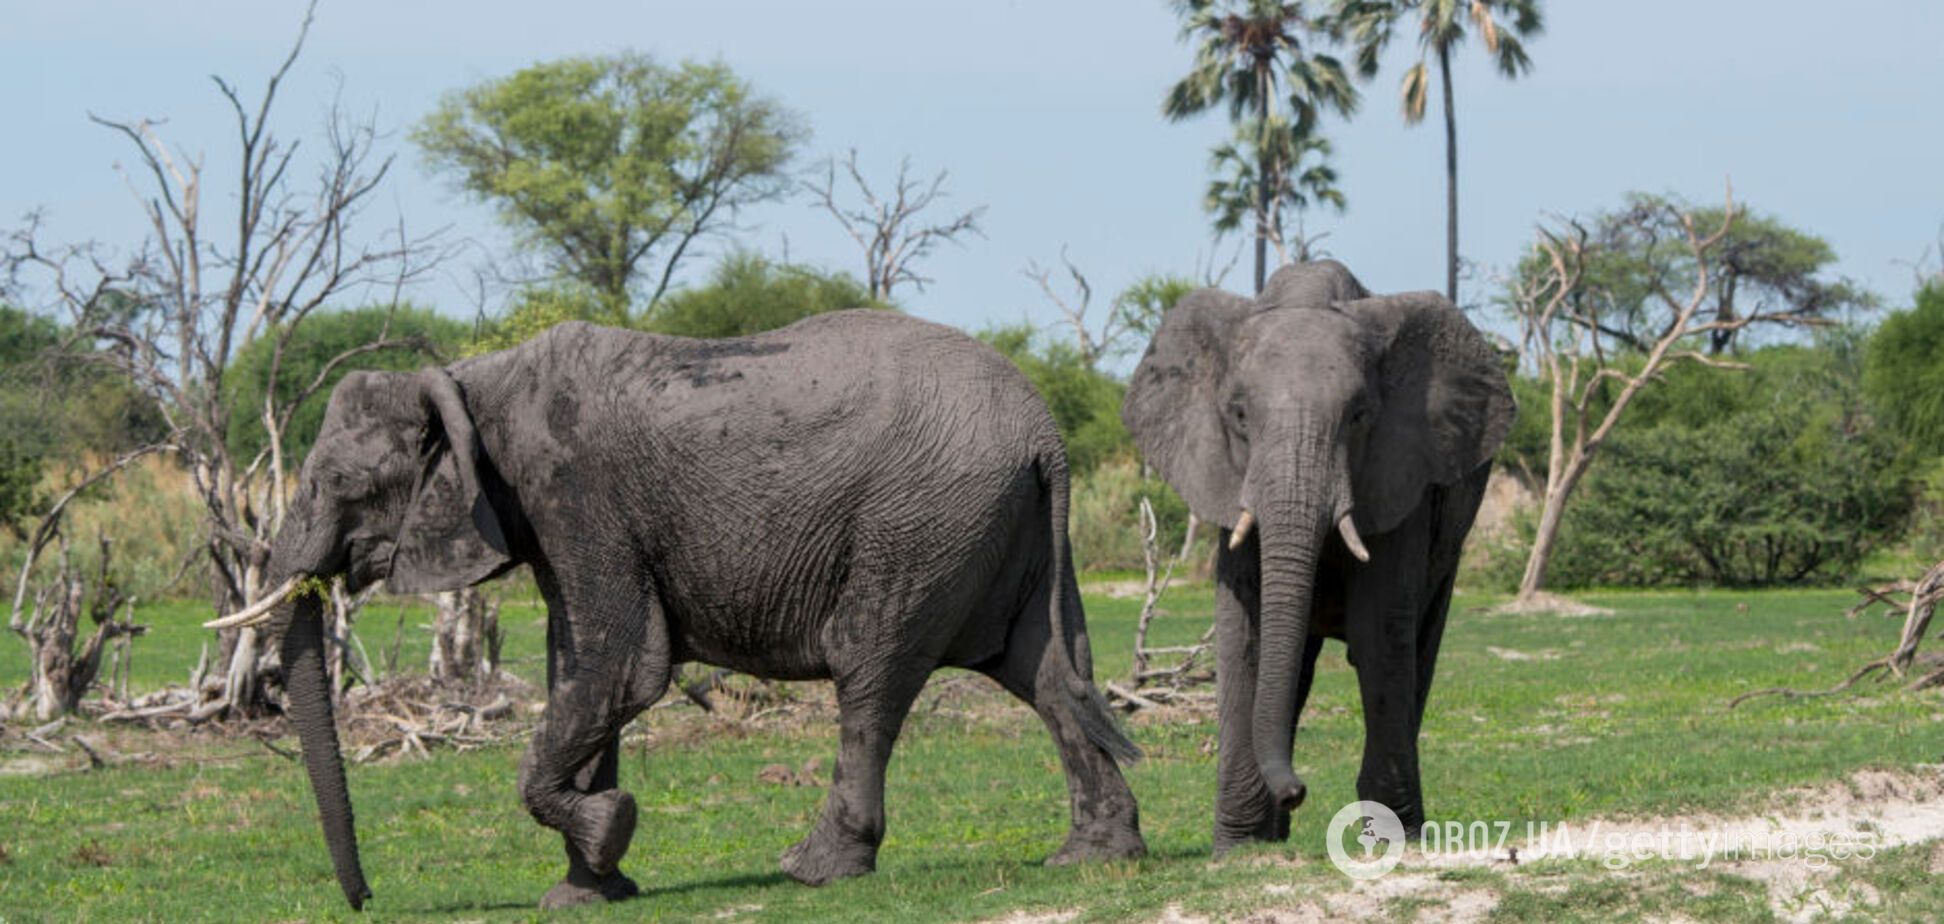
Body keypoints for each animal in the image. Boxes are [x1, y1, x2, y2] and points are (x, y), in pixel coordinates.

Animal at [212, 311, 1143, 910]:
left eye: (341, 483)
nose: (365, 898)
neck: (471, 384)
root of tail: (1047, 435)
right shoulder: (553, 518)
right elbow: (580, 670)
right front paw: (587, 892)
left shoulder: (575, 492)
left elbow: (624, 669)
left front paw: (608, 834)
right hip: (997, 527)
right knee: (1045, 673)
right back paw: (1091, 859)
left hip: (919, 522)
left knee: (870, 674)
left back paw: (815, 870)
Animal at [1119, 260, 1508, 852]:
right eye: (1238, 415)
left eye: (1359, 415)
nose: (1297, 791)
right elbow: (1246, 633)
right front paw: (1238, 849)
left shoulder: (1401, 475)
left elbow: (1380, 632)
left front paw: (1392, 838)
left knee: (1418, 646)